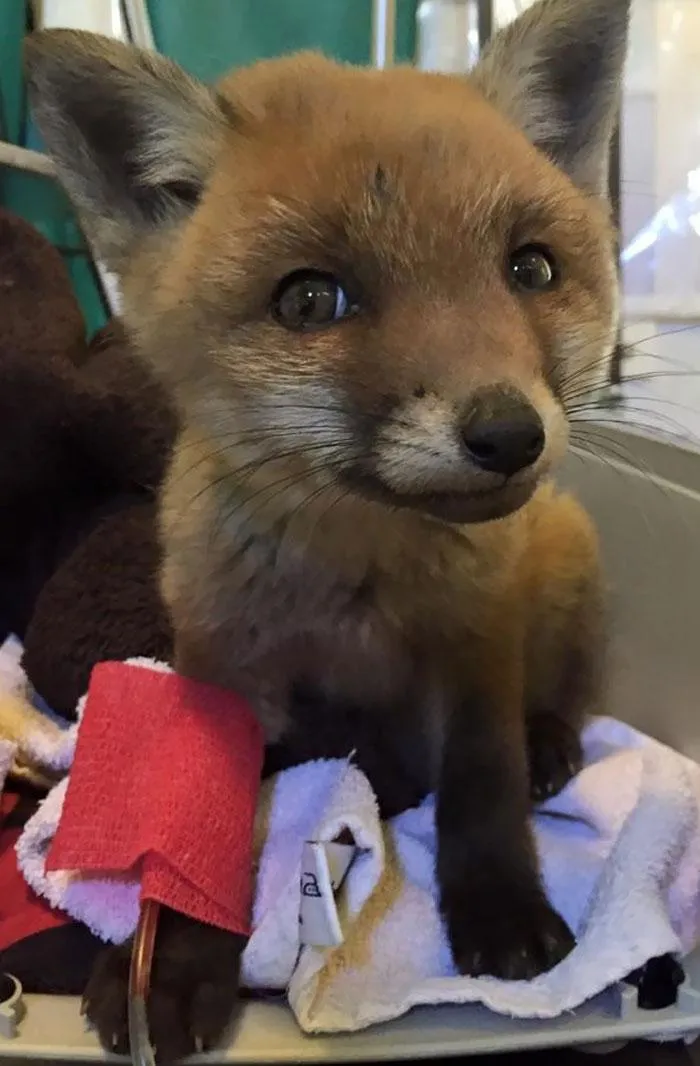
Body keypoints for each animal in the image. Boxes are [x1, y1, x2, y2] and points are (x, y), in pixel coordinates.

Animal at [25, 0, 629, 1060]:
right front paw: (170, 963)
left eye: (531, 268)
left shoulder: (477, 650)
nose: (509, 434)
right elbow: (196, 836)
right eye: (311, 299)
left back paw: (550, 743)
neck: (359, 586)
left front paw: (502, 913)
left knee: (562, 700)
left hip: (566, 562)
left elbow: (484, 790)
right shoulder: (223, 672)